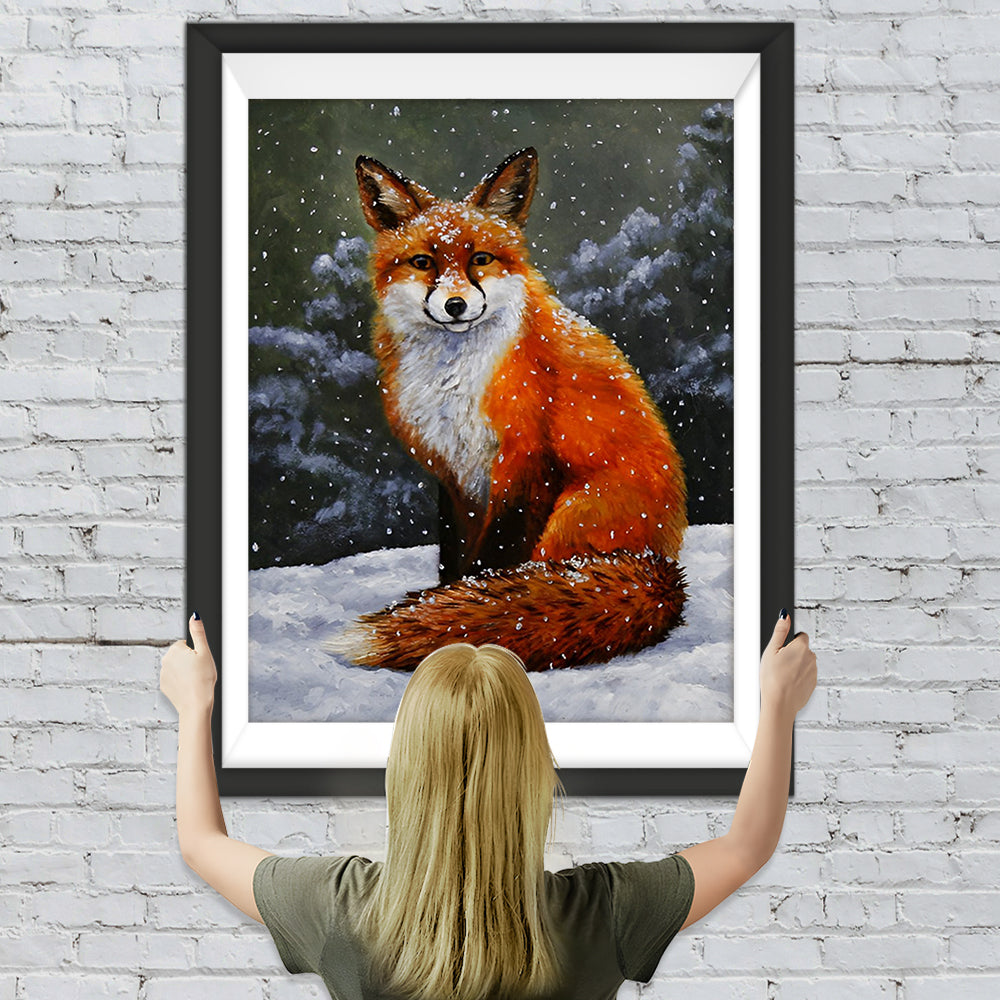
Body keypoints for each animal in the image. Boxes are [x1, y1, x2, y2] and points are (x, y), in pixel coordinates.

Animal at [324, 147, 687, 671]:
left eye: (480, 259)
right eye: (422, 262)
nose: (456, 305)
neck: (454, 379)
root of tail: (664, 567)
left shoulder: (525, 462)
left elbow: (492, 561)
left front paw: (461, 621)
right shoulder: (454, 473)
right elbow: (455, 559)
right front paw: (446, 607)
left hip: (572, 515)